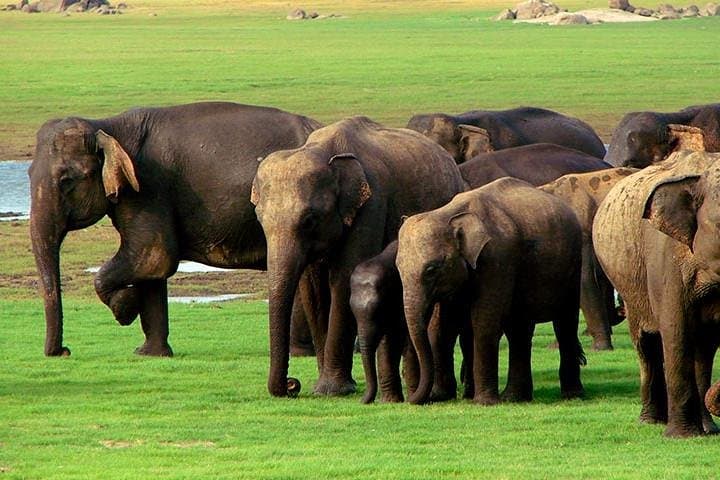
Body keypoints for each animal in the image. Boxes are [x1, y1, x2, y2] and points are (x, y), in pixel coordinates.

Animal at [29, 101, 322, 358]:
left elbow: (153, 256)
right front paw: (150, 354)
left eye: (66, 180)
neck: (107, 125)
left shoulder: (148, 190)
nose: (63, 352)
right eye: (28, 174)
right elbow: (153, 268)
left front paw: (125, 307)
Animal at [250, 116, 467, 398]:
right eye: (259, 220)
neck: (322, 150)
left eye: (309, 220)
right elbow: (313, 291)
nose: (292, 384)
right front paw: (322, 388)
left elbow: (344, 277)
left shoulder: (372, 205)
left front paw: (332, 390)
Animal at [396, 177, 586, 405]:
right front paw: (440, 397)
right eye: (398, 269)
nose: (410, 400)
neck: (449, 214)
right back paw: (515, 398)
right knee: (519, 330)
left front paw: (484, 402)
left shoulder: (498, 258)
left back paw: (571, 396)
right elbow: (443, 326)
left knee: (565, 324)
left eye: (431, 270)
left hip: (572, 267)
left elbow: (484, 322)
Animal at [593, 149, 720, 437]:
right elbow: (675, 330)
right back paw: (651, 421)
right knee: (646, 345)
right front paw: (681, 436)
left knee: (703, 348)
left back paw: (707, 427)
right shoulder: (666, 256)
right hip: (631, 288)